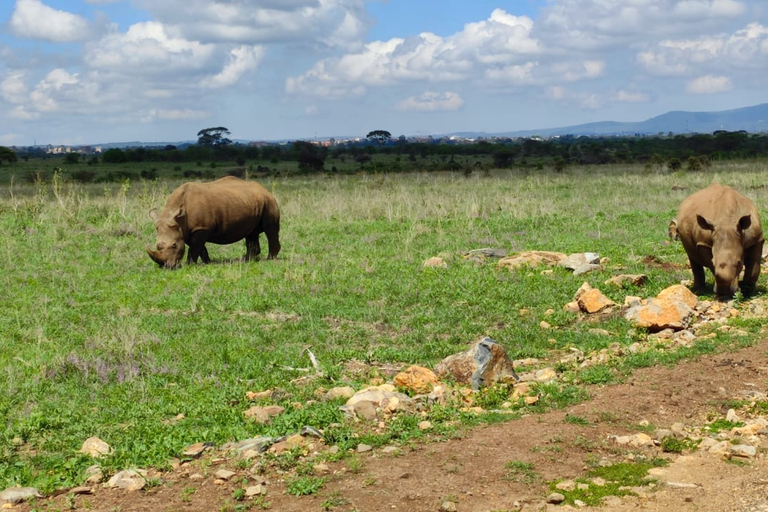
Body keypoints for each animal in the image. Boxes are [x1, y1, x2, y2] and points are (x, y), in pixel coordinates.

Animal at [147, 177, 280, 268]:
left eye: (174, 245)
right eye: (157, 246)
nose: (167, 267)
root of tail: (264, 189)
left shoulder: (201, 227)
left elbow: (194, 247)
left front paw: (189, 264)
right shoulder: (189, 229)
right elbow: (199, 247)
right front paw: (207, 262)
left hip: (269, 201)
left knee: (270, 229)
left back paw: (270, 259)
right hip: (251, 201)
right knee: (251, 233)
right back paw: (246, 259)